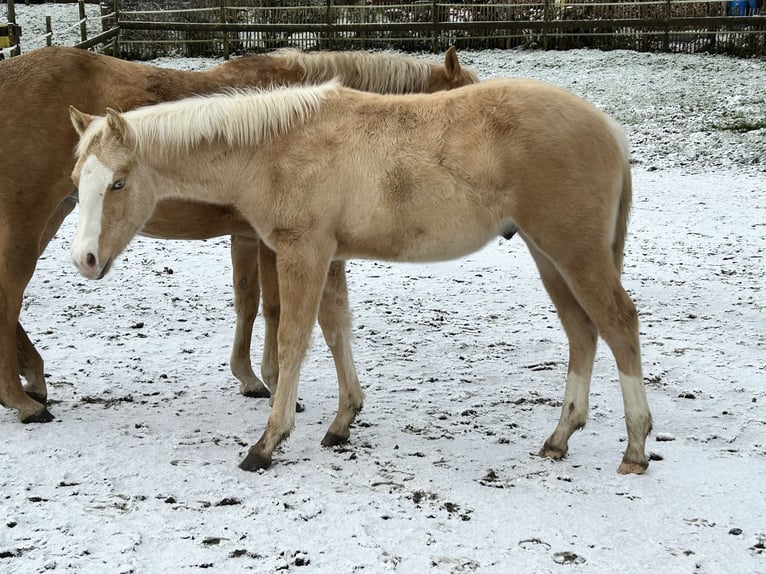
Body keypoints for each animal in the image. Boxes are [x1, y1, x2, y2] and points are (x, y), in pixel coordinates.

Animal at [0, 45, 477, 424]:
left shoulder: (247, 236)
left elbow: (248, 302)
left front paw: (248, 377)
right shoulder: (273, 241)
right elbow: (276, 308)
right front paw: (274, 380)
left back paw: (33, 375)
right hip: (27, 221)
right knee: (9, 297)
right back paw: (21, 399)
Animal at [68, 78, 653, 475]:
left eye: (118, 183)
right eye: (78, 179)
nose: (85, 260)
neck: (274, 148)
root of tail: (611, 129)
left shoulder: (302, 253)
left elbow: (294, 338)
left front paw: (268, 442)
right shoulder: (329, 257)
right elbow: (336, 331)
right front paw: (343, 422)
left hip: (574, 253)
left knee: (619, 324)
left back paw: (635, 448)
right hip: (549, 255)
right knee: (582, 331)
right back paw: (560, 437)